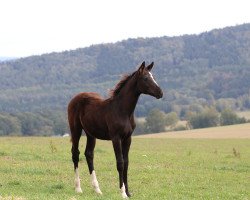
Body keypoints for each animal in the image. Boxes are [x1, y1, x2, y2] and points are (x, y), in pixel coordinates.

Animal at [67, 61, 163, 198]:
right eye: (145, 78)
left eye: (153, 76)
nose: (160, 93)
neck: (122, 110)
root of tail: (75, 98)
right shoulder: (116, 138)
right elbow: (120, 163)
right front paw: (122, 193)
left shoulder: (128, 138)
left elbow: (126, 162)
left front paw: (128, 192)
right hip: (76, 130)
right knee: (75, 154)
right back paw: (78, 188)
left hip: (91, 134)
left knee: (89, 154)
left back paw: (97, 189)